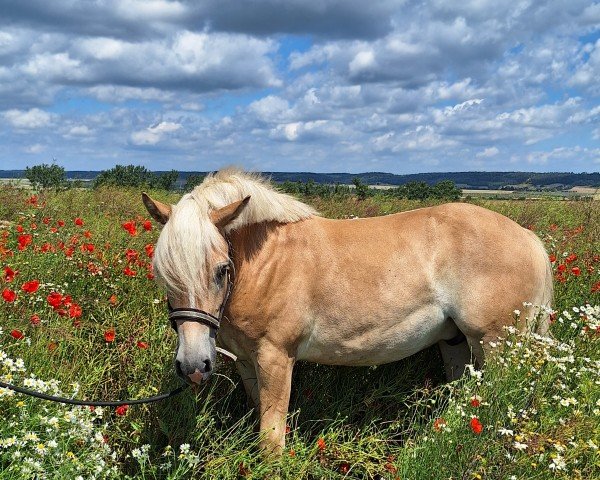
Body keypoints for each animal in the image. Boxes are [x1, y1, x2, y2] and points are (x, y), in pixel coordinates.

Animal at [142, 170, 552, 454]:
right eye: (163, 274)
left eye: (221, 270)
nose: (193, 366)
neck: (267, 262)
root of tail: (528, 238)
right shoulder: (246, 361)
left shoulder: (276, 358)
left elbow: (272, 439)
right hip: (456, 344)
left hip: (496, 346)